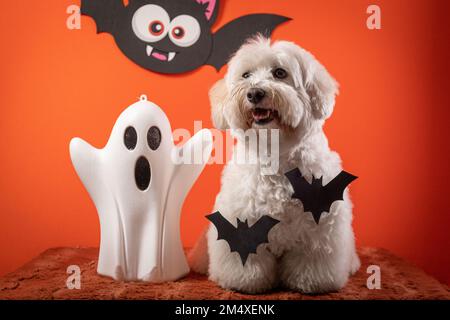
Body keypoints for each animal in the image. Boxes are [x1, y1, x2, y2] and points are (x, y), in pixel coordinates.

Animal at [188, 36, 360, 294]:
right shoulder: (241, 221)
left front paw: (310, 282)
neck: (275, 154)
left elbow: (312, 257)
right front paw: (246, 282)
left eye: (280, 73)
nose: (254, 93)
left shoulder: (320, 226)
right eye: (246, 75)